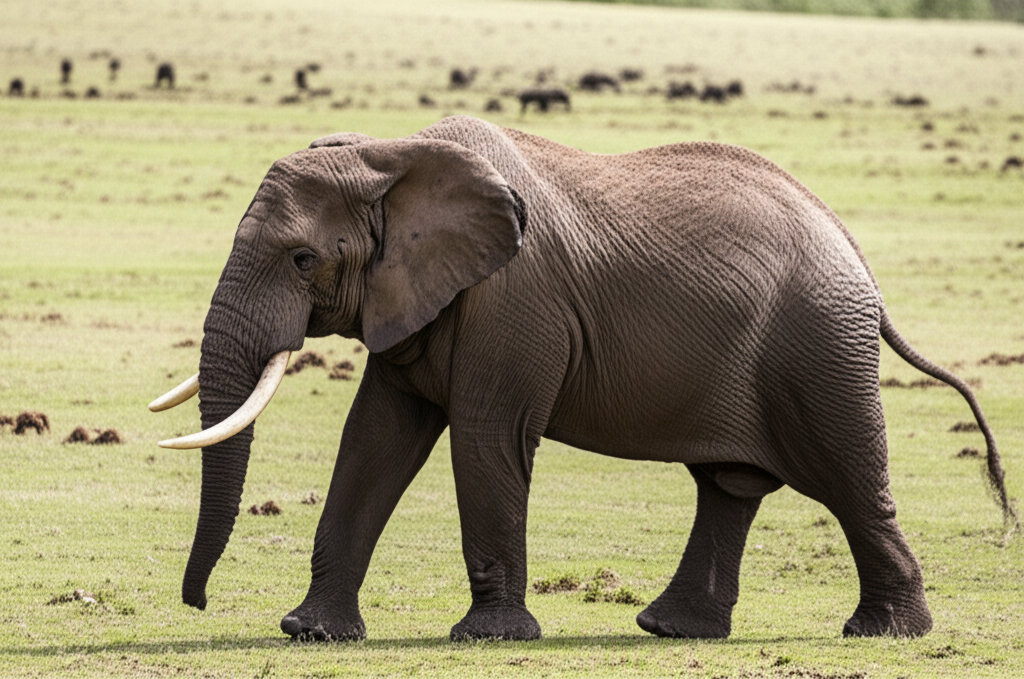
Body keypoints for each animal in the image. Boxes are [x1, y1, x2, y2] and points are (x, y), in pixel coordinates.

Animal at [150, 114, 1015, 642]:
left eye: (302, 259)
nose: (197, 602)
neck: (392, 153)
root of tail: (857, 255)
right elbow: (375, 439)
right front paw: (313, 632)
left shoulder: (513, 301)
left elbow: (485, 436)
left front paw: (488, 638)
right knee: (728, 486)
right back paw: (672, 629)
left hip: (819, 350)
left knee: (847, 479)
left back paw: (886, 632)